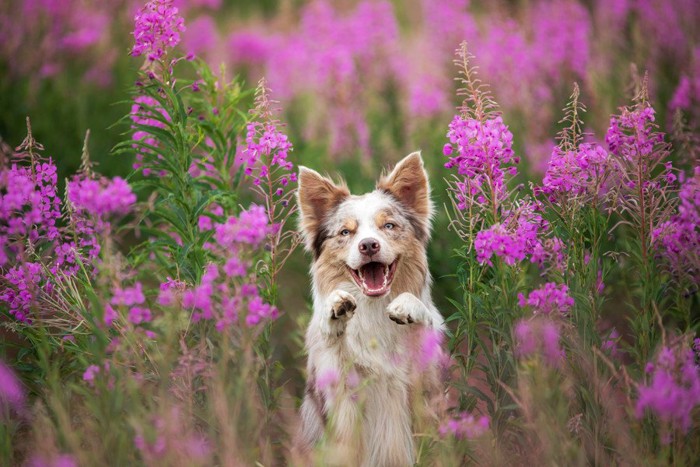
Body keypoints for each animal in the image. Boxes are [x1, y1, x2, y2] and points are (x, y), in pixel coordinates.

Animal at [294, 152, 442, 466]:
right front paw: (334, 311)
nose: (369, 245)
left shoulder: (427, 387)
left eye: (389, 226)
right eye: (345, 232)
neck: (374, 308)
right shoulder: (340, 399)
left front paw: (410, 307)